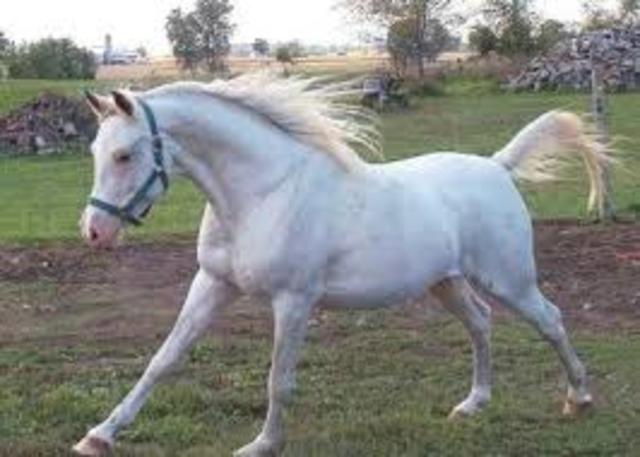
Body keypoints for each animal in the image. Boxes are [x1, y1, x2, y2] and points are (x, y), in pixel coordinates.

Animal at [74, 73, 605, 456]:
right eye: (96, 151)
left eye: (125, 155)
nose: (94, 232)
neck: (262, 194)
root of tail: (497, 166)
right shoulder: (213, 284)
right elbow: (163, 359)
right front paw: (99, 435)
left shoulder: (293, 300)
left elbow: (278, 379)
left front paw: (262, 445)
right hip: (447, 282)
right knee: (481, 323)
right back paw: (473, 404)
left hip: (508, 278)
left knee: (551, 320)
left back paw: (579, 399)